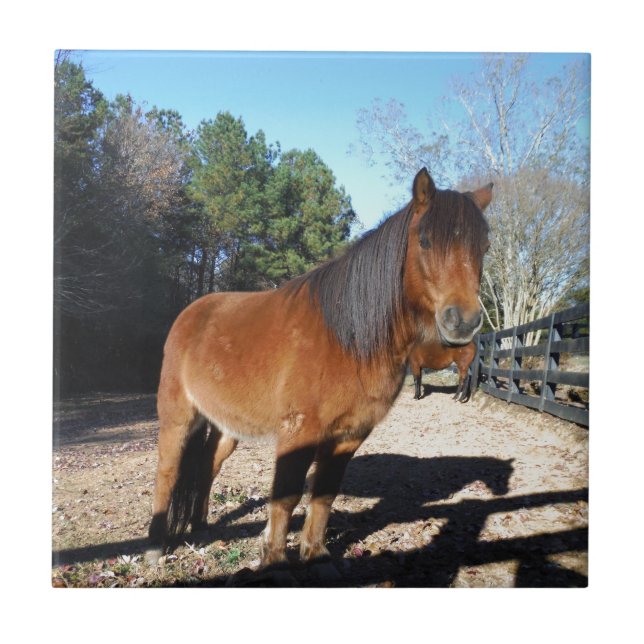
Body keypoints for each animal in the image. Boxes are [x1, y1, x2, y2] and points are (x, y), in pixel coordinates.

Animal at [146, 168, 493, 569]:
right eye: (425, 241)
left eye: (484, 246)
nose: (463, 321)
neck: (349, 339)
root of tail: (190, 313)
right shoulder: (299, 433)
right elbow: (286, 498)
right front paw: (275, 560)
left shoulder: (349, 435)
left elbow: (324, 494)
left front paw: (315, 554)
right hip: (178, 418)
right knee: (167, 473)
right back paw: (155, 547)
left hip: (227, 425)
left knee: (207, 466)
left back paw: (201, 526)